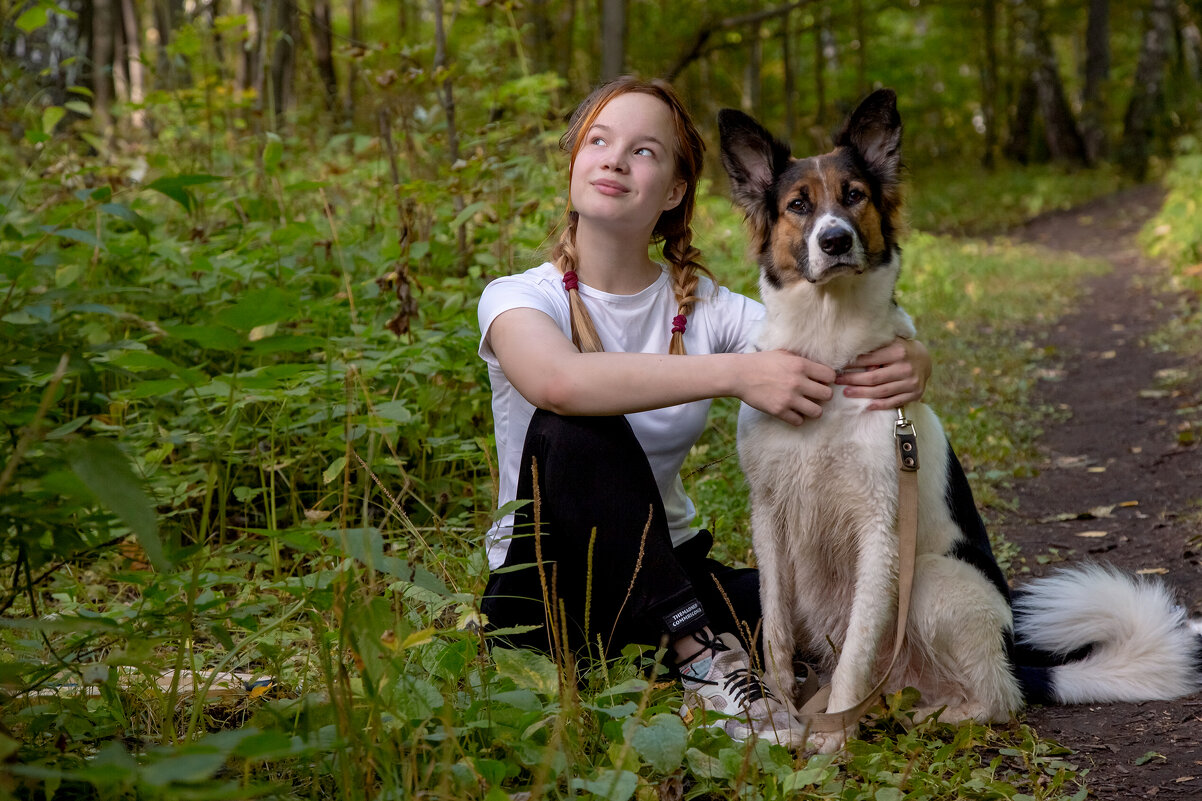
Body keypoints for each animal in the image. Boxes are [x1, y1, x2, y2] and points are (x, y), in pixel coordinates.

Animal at [716, 90, 1197, 750]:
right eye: (798, 205)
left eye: (854, 195)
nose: (835, 240)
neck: (829, 355)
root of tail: (1013, 660)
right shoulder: (769, 515)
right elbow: (778, 636)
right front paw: (785, 713)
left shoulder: (880, 528)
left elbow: (857, 653)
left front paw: (830, 744)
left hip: (930, 582)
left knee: (994, 701)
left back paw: (918, 717)